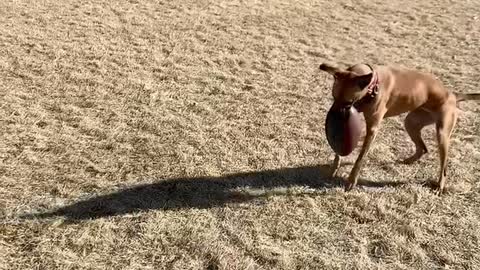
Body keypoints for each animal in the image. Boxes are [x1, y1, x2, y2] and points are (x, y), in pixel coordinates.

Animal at [318, 62, 480, 194]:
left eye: (348, 102)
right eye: (333, 97)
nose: (334, 119)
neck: (373, 86)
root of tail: (452, 94)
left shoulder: (372, 129)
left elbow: (360, 158)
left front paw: (351, 180)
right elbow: (339, 152)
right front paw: (334, 168)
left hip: (442, 134)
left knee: (444, 166)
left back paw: (440, 185)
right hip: (411, 122)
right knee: (423, 148)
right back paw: (408, 161)